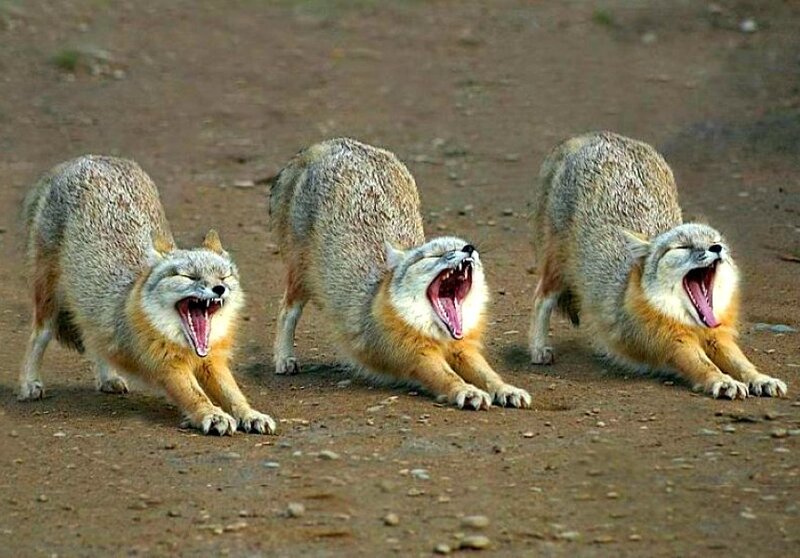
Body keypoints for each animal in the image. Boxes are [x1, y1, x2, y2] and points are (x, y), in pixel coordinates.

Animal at [19, 155, 276, 435]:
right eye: (189, 277)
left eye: (223, 277)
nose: (219, 289)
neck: (185, 345)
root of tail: (87, 158)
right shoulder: (167, 367)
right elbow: (195, 395)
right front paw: (212, 414)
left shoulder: (213, 362)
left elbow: (234, 394)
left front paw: (250, 414)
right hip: (48, 300)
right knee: (38, 336)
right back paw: (30, 383)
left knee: (94, 339)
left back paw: (107, 377)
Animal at [268, 138, 531, 410]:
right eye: (433, 255)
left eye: (462, 246)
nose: (470, 248)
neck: (438, 334)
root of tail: (332, 143)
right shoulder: (416, 356)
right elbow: (448, 377)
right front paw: (467, 390)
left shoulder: (464, 350)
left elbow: (489, 374)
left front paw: (506, 389)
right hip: (301, 276)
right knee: (287, 309)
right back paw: (284, 357)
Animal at [528, 131, 787, 400]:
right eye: (682, 247)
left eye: (716, 241)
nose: (716, 249)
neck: (691, 322)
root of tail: (597, 135)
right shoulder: (673, 342)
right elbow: (704, 365)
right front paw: (723, 380)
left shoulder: (718, 337)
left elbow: (742, 362)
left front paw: (760, 378)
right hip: (558, 267)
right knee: (541, 297)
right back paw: (539, 348)